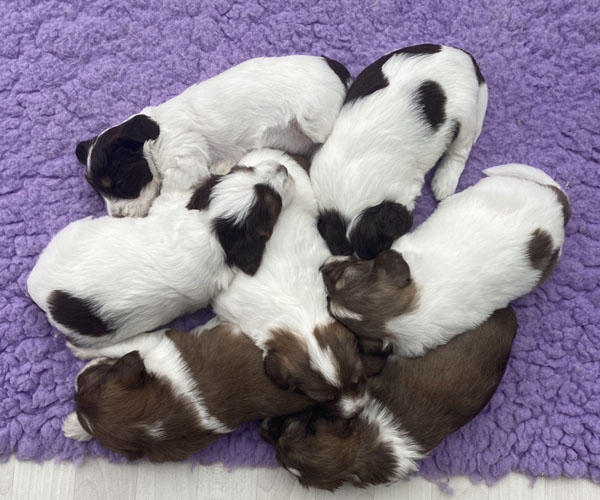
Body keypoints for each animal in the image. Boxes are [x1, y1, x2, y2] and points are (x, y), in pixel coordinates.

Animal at [62, 321, 315, 461]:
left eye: (98, 379)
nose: (76, 379)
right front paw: (75, 427)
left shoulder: (152, 341)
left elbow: (117, 345)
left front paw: (79, 348)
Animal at [76, 55, 350, 217]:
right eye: (98, 192)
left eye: (121, 183)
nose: (117, 216)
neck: (154, 140)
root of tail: (333, 65)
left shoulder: (184, 157)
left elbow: (171, 188)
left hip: (315, 116)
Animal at [312, 44, 488, 259]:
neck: (351, 178)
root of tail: (466, 57)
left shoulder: (405, 189)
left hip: (466, 117)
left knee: (460, 151)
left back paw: (444, 183)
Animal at [322, 164, 570, 357]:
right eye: (329, 303)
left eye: (348, 272)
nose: (322, 267)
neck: (402, 314)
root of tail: (557, 204)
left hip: (494, 187)